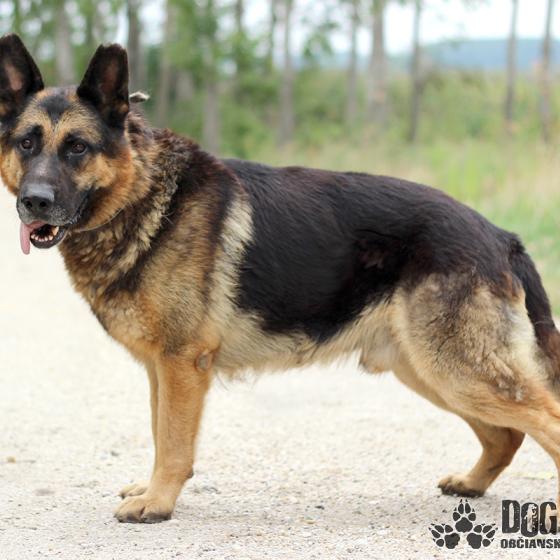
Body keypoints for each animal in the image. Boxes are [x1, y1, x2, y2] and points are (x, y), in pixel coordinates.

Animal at [1, 33, 560, 524]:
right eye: (27, 144)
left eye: (77, 147)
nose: (34, 203)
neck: (144, 196)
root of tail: (499, 233)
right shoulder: (161, 368)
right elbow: (160, 433)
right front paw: (152, 489)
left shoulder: (183, 365)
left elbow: (174, 442)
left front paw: (158, 503)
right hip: (428, 369)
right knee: (505, 436)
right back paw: (472, 484)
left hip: (456, 369)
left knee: (543, 421)